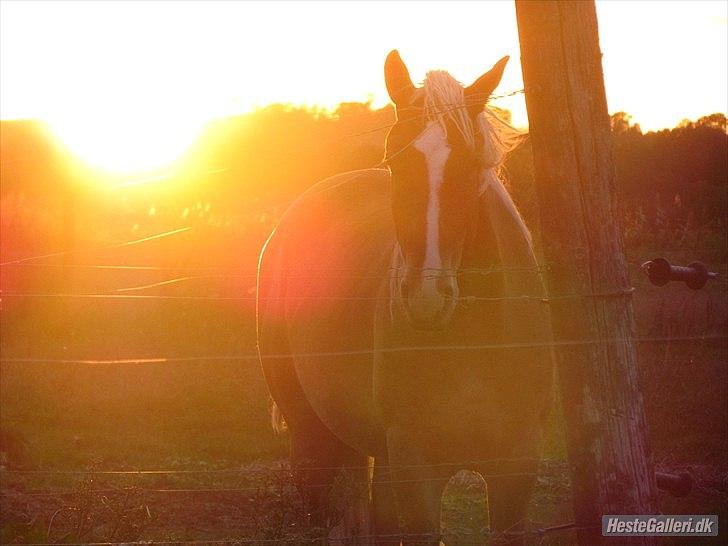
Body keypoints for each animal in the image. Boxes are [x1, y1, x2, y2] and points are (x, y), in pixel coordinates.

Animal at [256, 49, 552, 540]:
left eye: (469, 164)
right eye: (394, 163)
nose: (426, 298)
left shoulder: (516, 469)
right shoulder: (417, 469)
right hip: (312, 438)